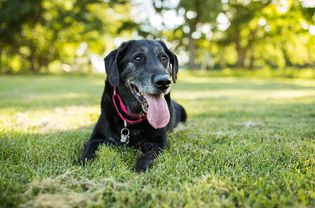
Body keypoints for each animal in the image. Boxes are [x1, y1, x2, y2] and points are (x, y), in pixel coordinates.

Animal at [80, 39, 188, 172]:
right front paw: (84, 164)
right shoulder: (96, 138)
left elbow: (147, 156)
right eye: (138, 58)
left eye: (164, 58)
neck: (133, 118)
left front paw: (140, 169)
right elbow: (87, 152)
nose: (164, 82)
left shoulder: (159, 143)